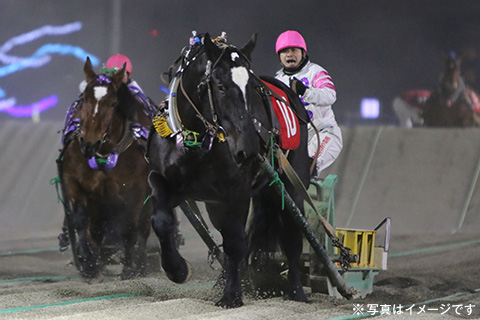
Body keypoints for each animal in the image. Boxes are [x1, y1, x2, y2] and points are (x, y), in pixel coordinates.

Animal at [56, 58, 154, 280]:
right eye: (83, 99)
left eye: (113, 103)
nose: (89, 143)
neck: (104, 151)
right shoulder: (74, 181)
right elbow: (81, 222)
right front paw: (88, 264)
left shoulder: (136, 189)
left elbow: (130, 228)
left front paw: (129, 268)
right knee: (97, 230)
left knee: (143, 227)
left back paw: (141, 264)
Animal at [147, 33, 312, 308]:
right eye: (221, 86)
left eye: (252, 87)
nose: (249, 148)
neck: (197, 142)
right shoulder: (168, 181)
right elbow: (161, 219)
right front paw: (177, 269)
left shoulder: (238, 189)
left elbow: (236, 241)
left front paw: (232, 295)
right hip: (217, 204)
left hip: (290, 188)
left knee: (292, 238)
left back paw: (297, 292)